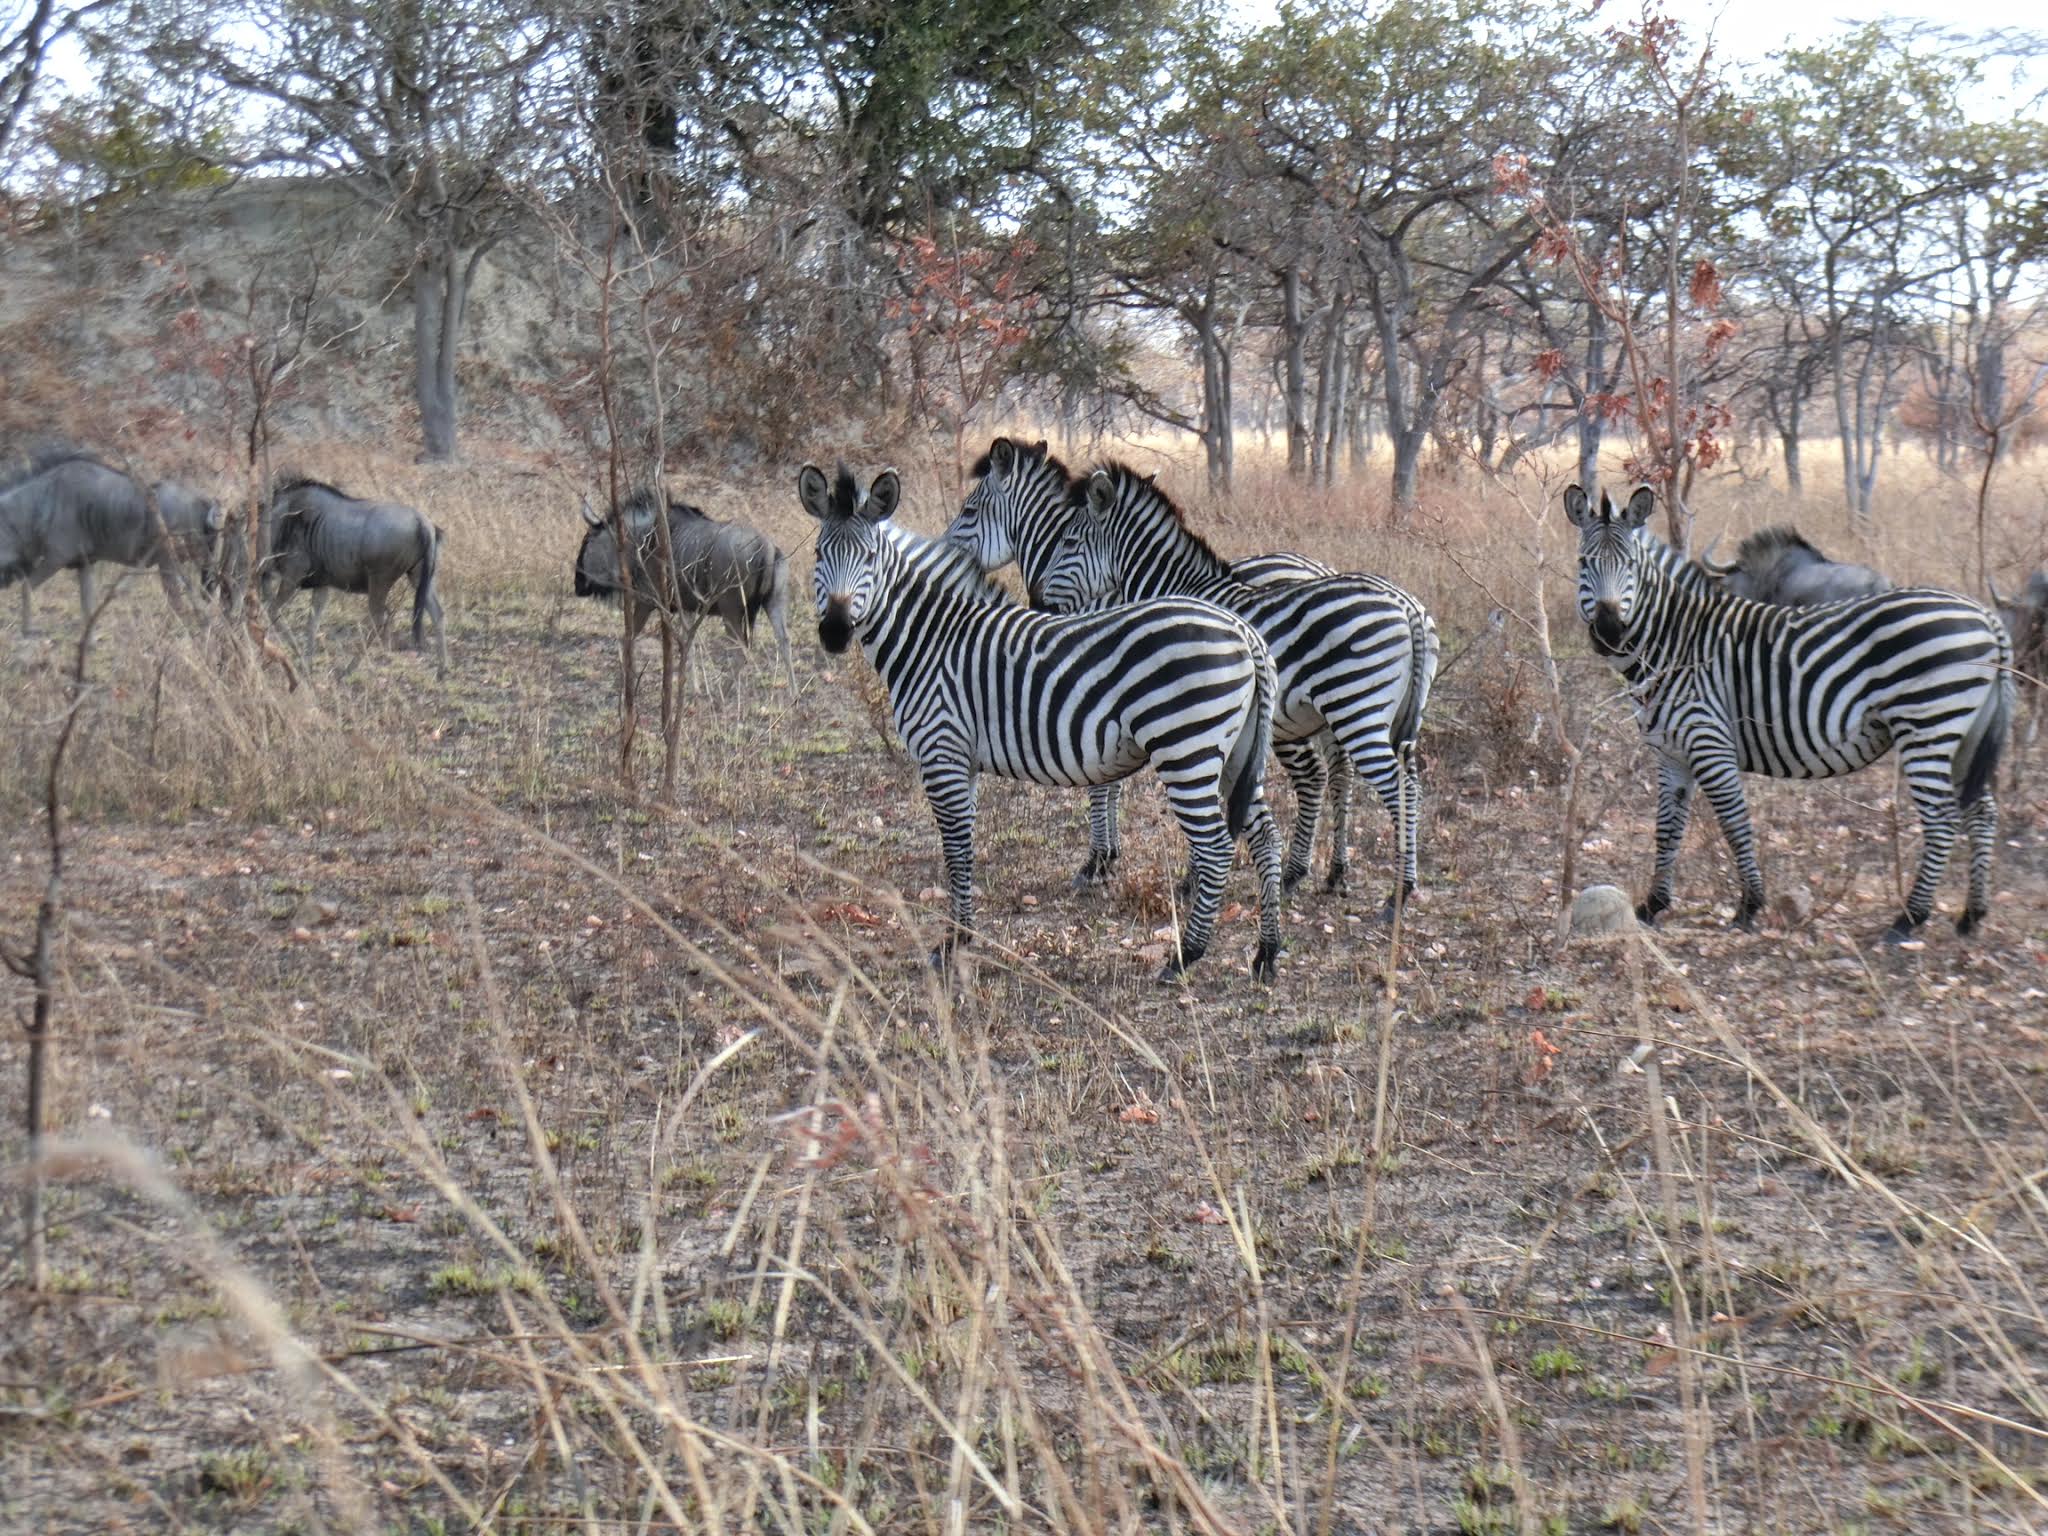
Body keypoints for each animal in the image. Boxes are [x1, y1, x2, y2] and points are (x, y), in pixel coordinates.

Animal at [798, 462, 1277, 978]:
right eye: (819, 553)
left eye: (869, 559)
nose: (834, 632)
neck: (932, 638)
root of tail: (1241, 629)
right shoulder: (962, 759)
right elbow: (964, 847)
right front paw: (964, 935)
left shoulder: (942, 751)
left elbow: (955, 850)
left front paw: (952, 943)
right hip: (1232, 753)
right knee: (1265, 835)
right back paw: (1267, 952)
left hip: (1185, 749)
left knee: (1216, 849)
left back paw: (1186, 956)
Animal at [950, 438, 1384, 897]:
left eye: (968, 511)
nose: (1038, 603)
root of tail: (1320, 567)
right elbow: (1112, 780)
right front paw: (1111, 854)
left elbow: (1100, 784)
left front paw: (1096, 860)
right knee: (1339, 773)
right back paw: (1335, 871)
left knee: (1313, 776)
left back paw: (1298, 872)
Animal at [1032, 456, 1433, 913]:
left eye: (1068, 541)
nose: (1037, 603)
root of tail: (1406, 605)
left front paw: (1188, 882)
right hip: (1389, 716)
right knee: (1404, 781)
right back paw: (1341, 877)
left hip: (1356, 707)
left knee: (1399, 787)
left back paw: (1399, 894)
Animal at [1564, 483, 2015, 937]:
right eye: (1584, 563)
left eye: (1631, 565)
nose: (1609, 631)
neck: (1676, 641)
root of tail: (1984, 615)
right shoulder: (1670, 753)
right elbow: (1667, 828)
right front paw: (1652, 904)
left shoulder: (1709, 742)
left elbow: (1734, 822)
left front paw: (1749, 905)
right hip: (1962, 736)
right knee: (1982, 812)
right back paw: (1971, 914)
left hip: (1927, 726)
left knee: (1942, 819)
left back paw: (1910, 918)